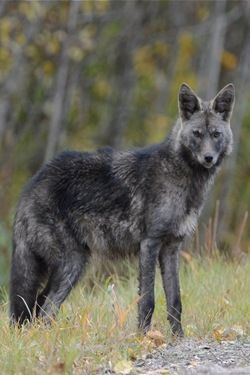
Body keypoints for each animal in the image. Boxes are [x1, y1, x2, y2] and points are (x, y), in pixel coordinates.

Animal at [9, 83, 234, 336]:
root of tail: (32, 184)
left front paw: (178, 337)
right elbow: (147, 300)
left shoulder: (171, 248)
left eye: (215, 134)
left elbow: (175, 300)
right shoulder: (149, 244)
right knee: (45, 309)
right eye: (197, 134)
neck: (182, 178)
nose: (208, 158)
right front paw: (143, 337)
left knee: (38, 306)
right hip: (73, 263)